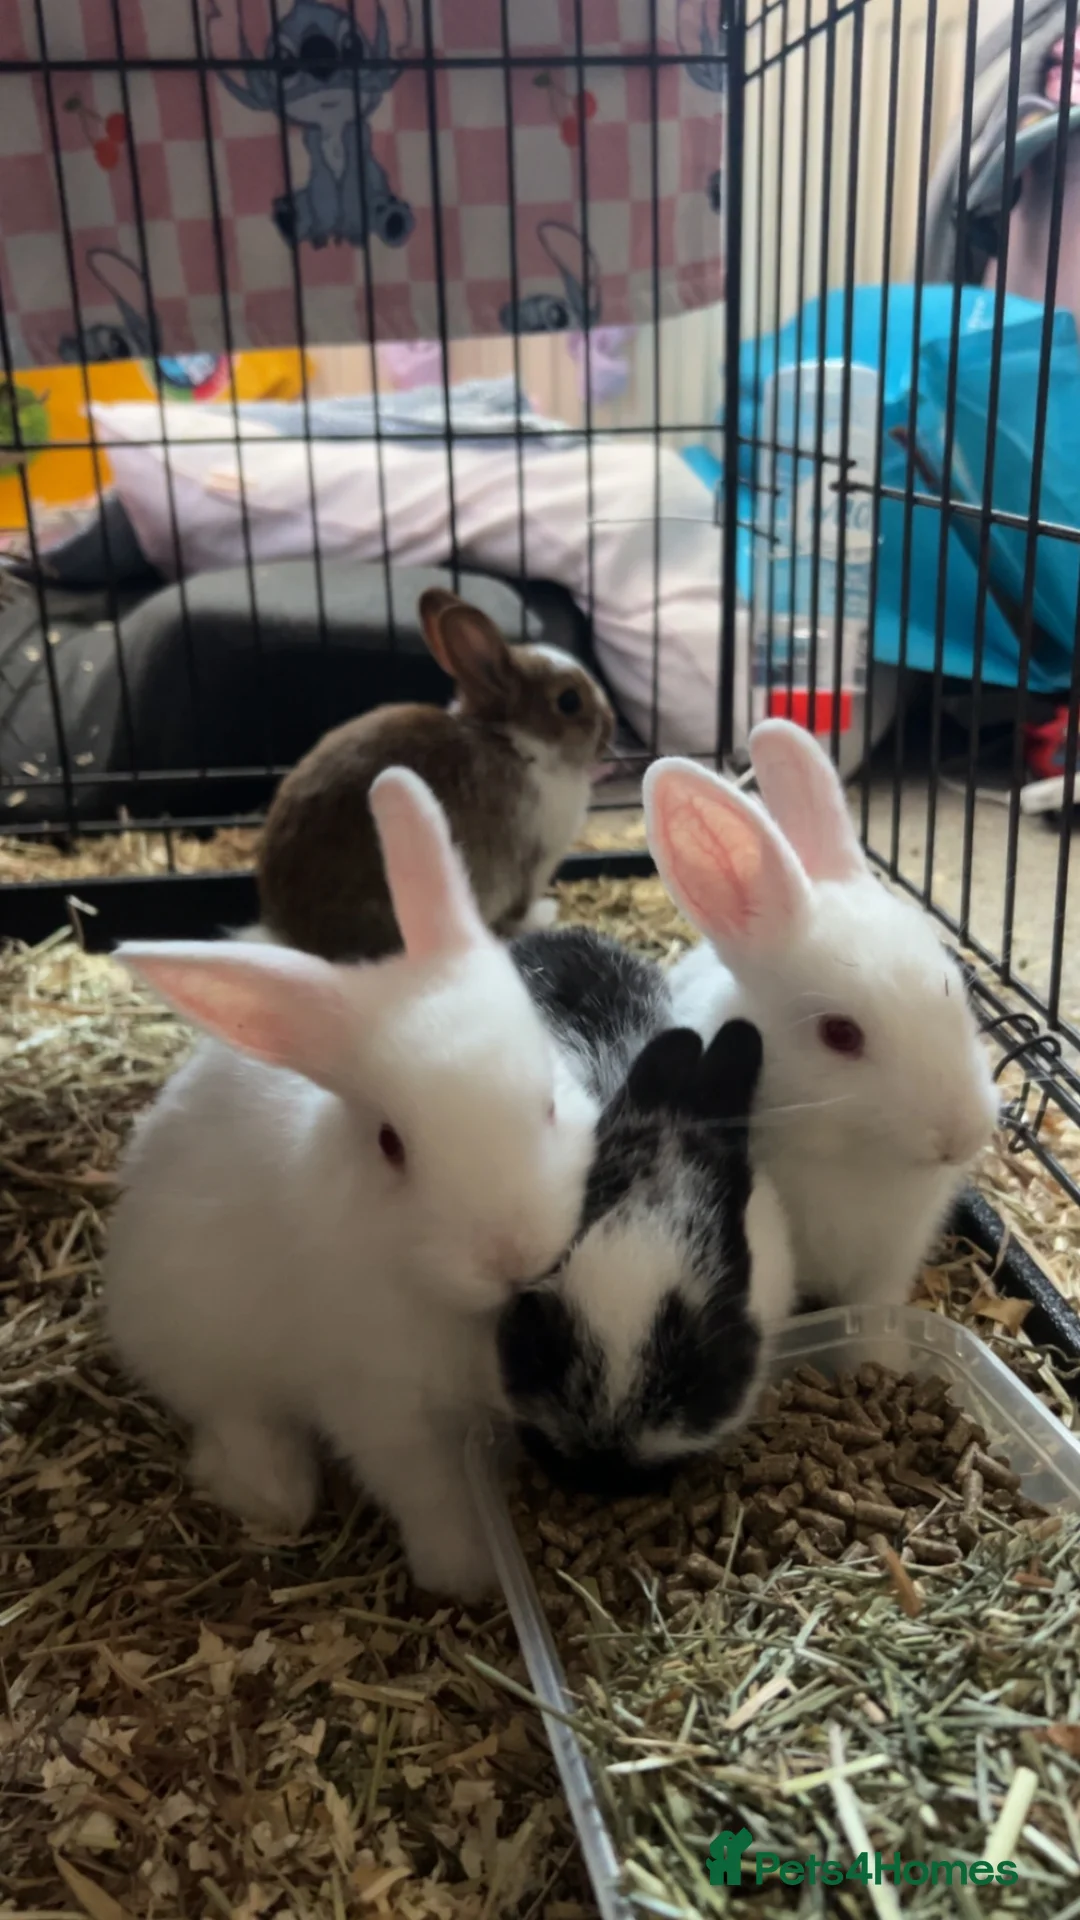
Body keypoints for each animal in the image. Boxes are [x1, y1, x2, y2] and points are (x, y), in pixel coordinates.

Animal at [103, 767, 601, 1601]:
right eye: (391, 1145)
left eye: (551, 1101)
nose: (512, 1254)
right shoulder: (380, 1408)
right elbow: (429, 1491)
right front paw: (467, 1573)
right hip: (200, 1340)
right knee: (231, 1415)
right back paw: (273, 1492)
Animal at [256, 587, 614, 961]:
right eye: (569, 701)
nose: (611, 727)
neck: (517, 744)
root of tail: (294, 938)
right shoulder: (532, 864)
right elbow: (519, 913)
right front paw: (545, 916)